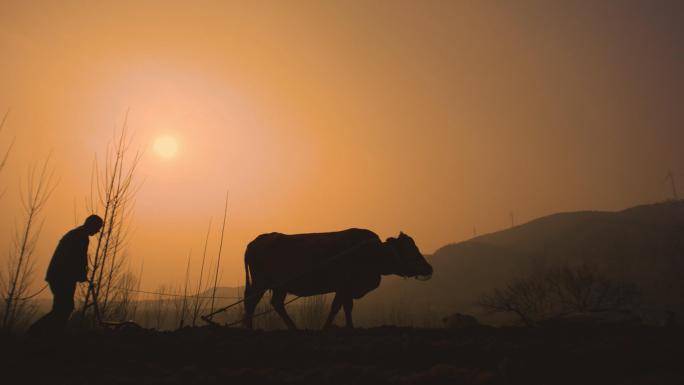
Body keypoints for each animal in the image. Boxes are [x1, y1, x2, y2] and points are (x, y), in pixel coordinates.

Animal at [243, 226, 430, 328]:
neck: (370, 251)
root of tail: (257, 241)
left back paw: (293, 328)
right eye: (410, 248)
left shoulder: (345, 290)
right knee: (251, 303)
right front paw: (330, 327)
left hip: (279, 286)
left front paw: (348, 327)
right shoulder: (344, 287)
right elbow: (337, 308)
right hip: (261, 283)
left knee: (276, 304)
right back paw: (251, 329)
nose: (428, 268)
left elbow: (344, 307)